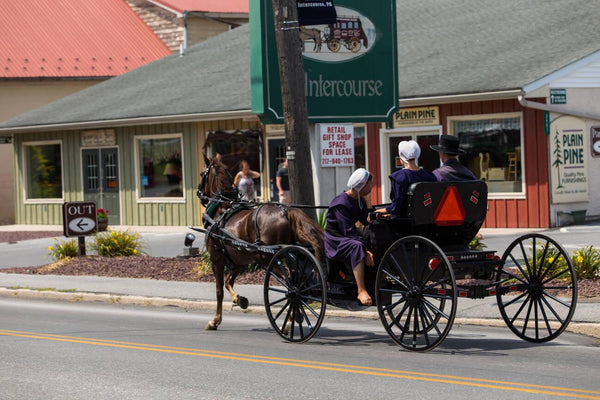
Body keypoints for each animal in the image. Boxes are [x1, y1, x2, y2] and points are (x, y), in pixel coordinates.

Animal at [198, 155, 324, 330]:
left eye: (202, 173)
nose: (198, 192)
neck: (221, 209)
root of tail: (285, 211)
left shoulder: (216, 259)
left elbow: (219, 290)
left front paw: (215, 320)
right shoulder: (240, 262)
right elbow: (228, 281)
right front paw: (239, 300)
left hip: (267, 259)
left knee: (291, 284)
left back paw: (290, 318)